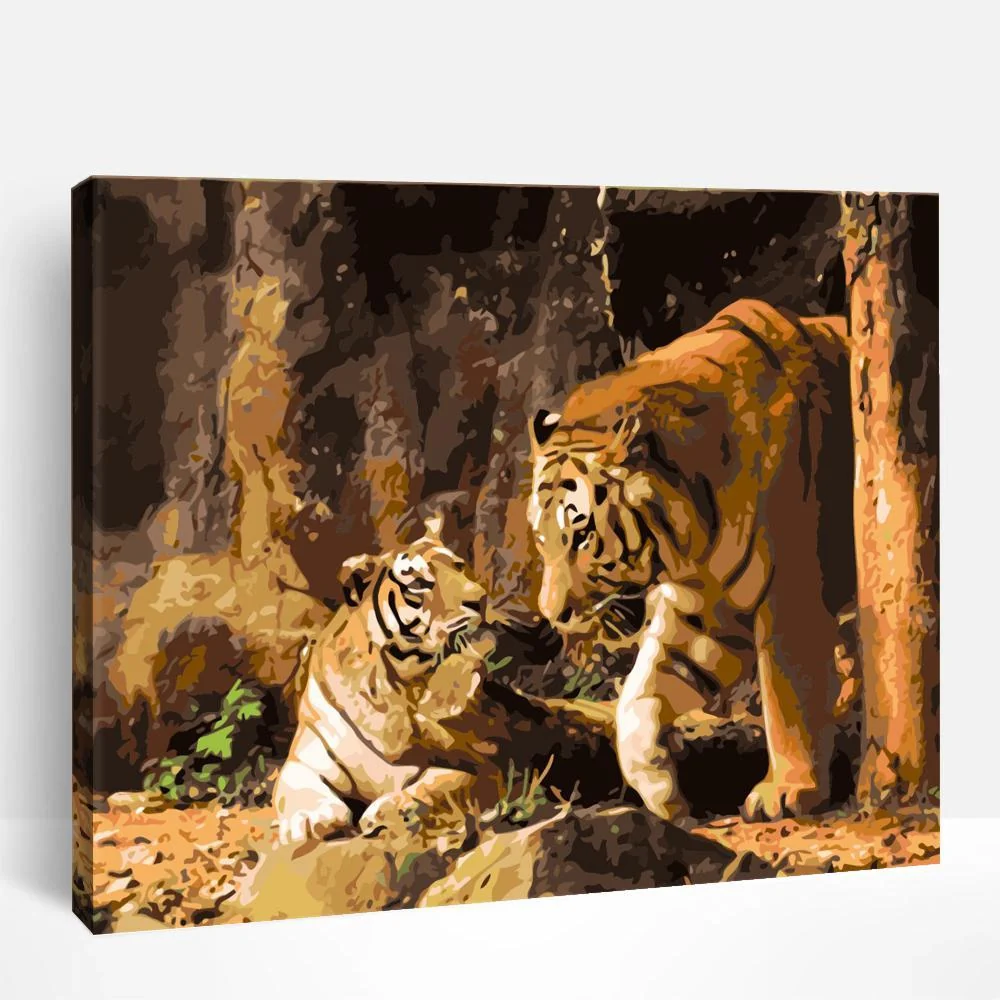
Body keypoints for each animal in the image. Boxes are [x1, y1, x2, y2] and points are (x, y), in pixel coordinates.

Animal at [274, 514, 618, 846]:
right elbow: (294, 787)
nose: (479, 599)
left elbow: (434, 788)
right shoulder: (306, 757)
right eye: (420, 583)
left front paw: (390, 811)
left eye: (460, 567)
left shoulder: (482, 766)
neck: (392, 684)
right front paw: (310, 819)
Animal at [527, 298, 856, 823]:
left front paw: (787, 792)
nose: (553, 615)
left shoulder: (789, 597)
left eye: (580, 535)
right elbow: (636, 698)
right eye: (542, 540)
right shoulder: (701, 613)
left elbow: (787, 696)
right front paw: (660, 792)